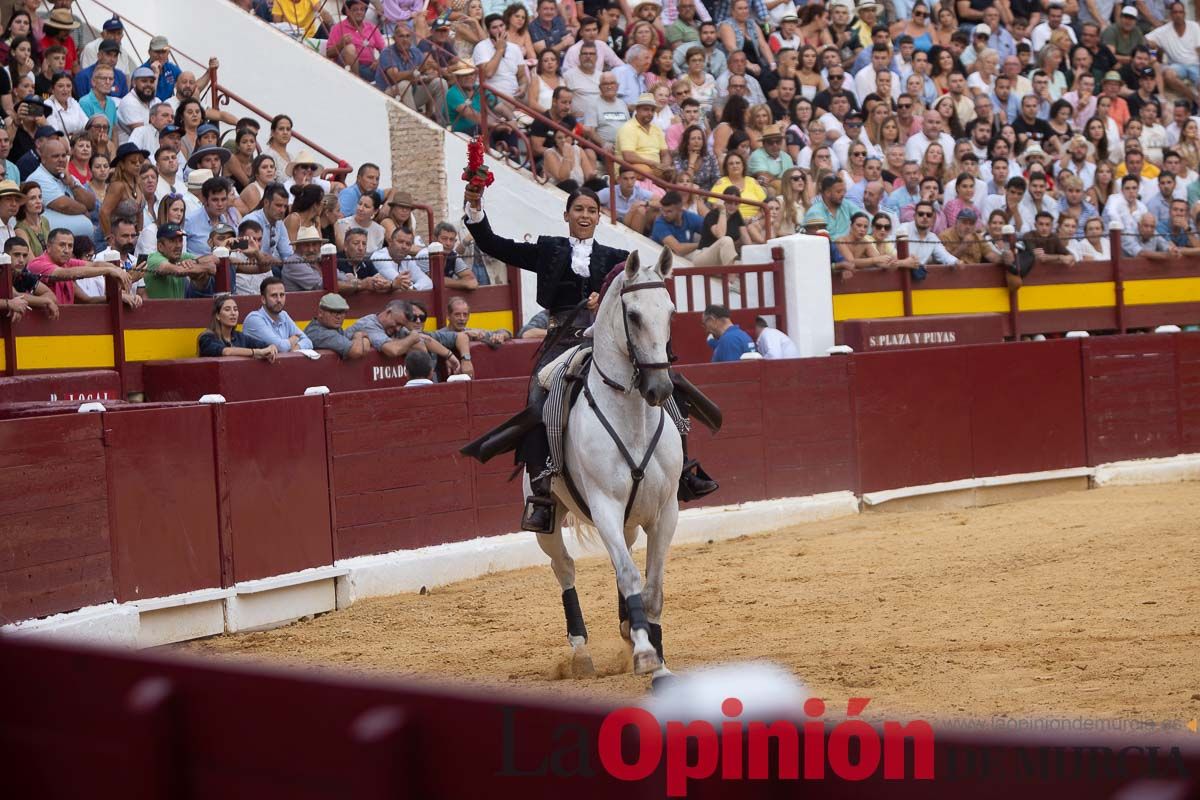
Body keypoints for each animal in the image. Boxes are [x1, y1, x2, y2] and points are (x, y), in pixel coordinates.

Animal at [537, 248, 686, 681]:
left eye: (671, 312)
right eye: (632, 315)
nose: (660, 389)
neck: (632, 418)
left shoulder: (666, 511)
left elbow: (651, 588)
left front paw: (657, 656)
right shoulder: (605, 507)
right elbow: (630, 575)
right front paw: (645, 653)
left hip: (632, 521)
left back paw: (625, 627)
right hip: (548, 520)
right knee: (565, 568)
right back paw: (581, 652)